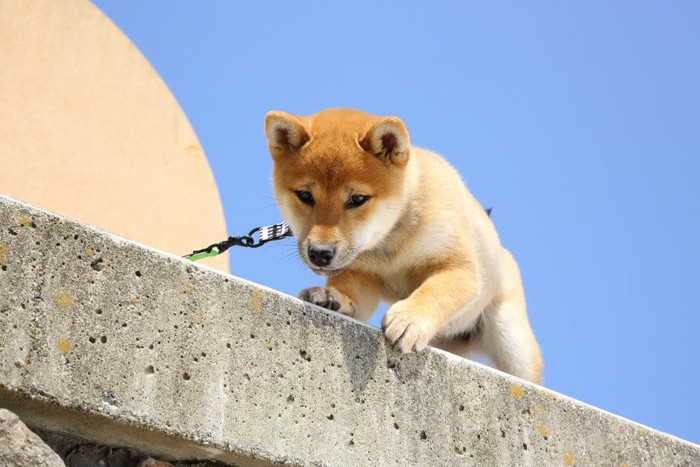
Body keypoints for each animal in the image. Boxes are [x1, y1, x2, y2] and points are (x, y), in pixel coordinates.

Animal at [266, 109, 544, 384]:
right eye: (304, 196)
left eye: (357, 199)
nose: (320, 253)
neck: (390, 242)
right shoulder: (361, 273)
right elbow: (352, 296)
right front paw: (332, 297)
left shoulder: (460, 267)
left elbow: (434, 291)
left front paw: (410, 319)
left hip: (512, 338)